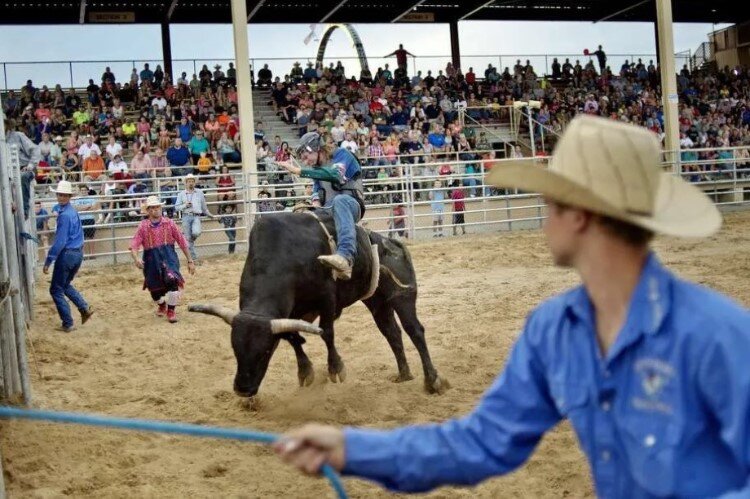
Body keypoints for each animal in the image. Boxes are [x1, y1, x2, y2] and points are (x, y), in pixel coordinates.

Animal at [188, 211, 446, 398]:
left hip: (402, 297)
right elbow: (292, 337)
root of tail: (389, 242)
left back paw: (432, 380)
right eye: (235, 349)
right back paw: (404, 374)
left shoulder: (327, 299)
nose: (243, 389)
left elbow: (327, 333)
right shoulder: (288, 313)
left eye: (265, 352)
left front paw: (335, 368)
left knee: (415, 331)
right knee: (392, 333)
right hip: (377, 302)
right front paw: (305, 371)